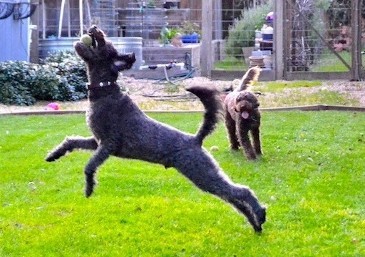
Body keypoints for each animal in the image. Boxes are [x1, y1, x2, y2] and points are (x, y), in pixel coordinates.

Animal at [47, 26, 266, 232]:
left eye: (103, 42)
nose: (94, 29)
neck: (105, 90)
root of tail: (196, 139)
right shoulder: (96, 141)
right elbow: (72, 141)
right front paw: (53, 155)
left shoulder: (108, 145)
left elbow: (89, 166)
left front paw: (89, 189)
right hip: (205, 177)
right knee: (233, 197)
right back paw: (256, 224)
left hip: (202, 173)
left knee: (242, 191)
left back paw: (261, 214)